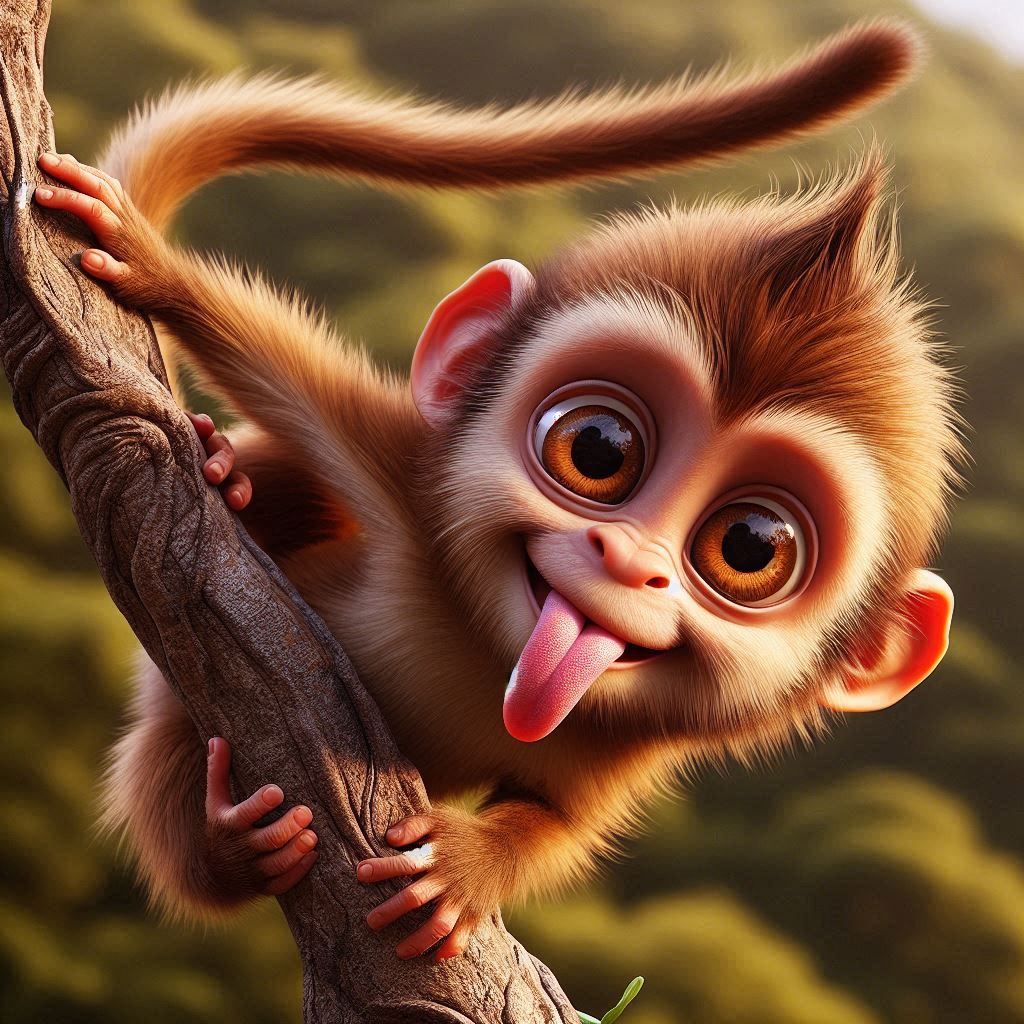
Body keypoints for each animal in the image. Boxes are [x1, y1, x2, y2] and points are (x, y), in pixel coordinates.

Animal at [32, 18, 962, 963]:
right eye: (597, 450)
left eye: (748, 547)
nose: (625, 557)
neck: (488, 654)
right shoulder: (400, 477)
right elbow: (272, 366)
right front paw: (152, 262)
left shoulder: (621, 751)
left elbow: (558, 824)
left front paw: (468, 867)